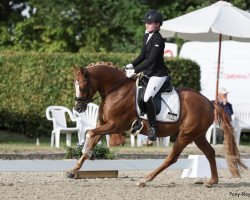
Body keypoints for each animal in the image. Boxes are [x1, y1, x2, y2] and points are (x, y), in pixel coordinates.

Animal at [68, 61, 246, 187]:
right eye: (74, 85)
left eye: (82, 87)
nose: (78, 108)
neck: (116, 90)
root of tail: (209, 102)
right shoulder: (104, 125)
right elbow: (92, 137)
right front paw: (73, 170)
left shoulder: (115, 125)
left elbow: (89, 133)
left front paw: (86, 154)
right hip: (198, 135)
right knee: (210, 152)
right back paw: (212, 181)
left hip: (185, 135)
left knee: (172, 158)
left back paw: (145, 180)